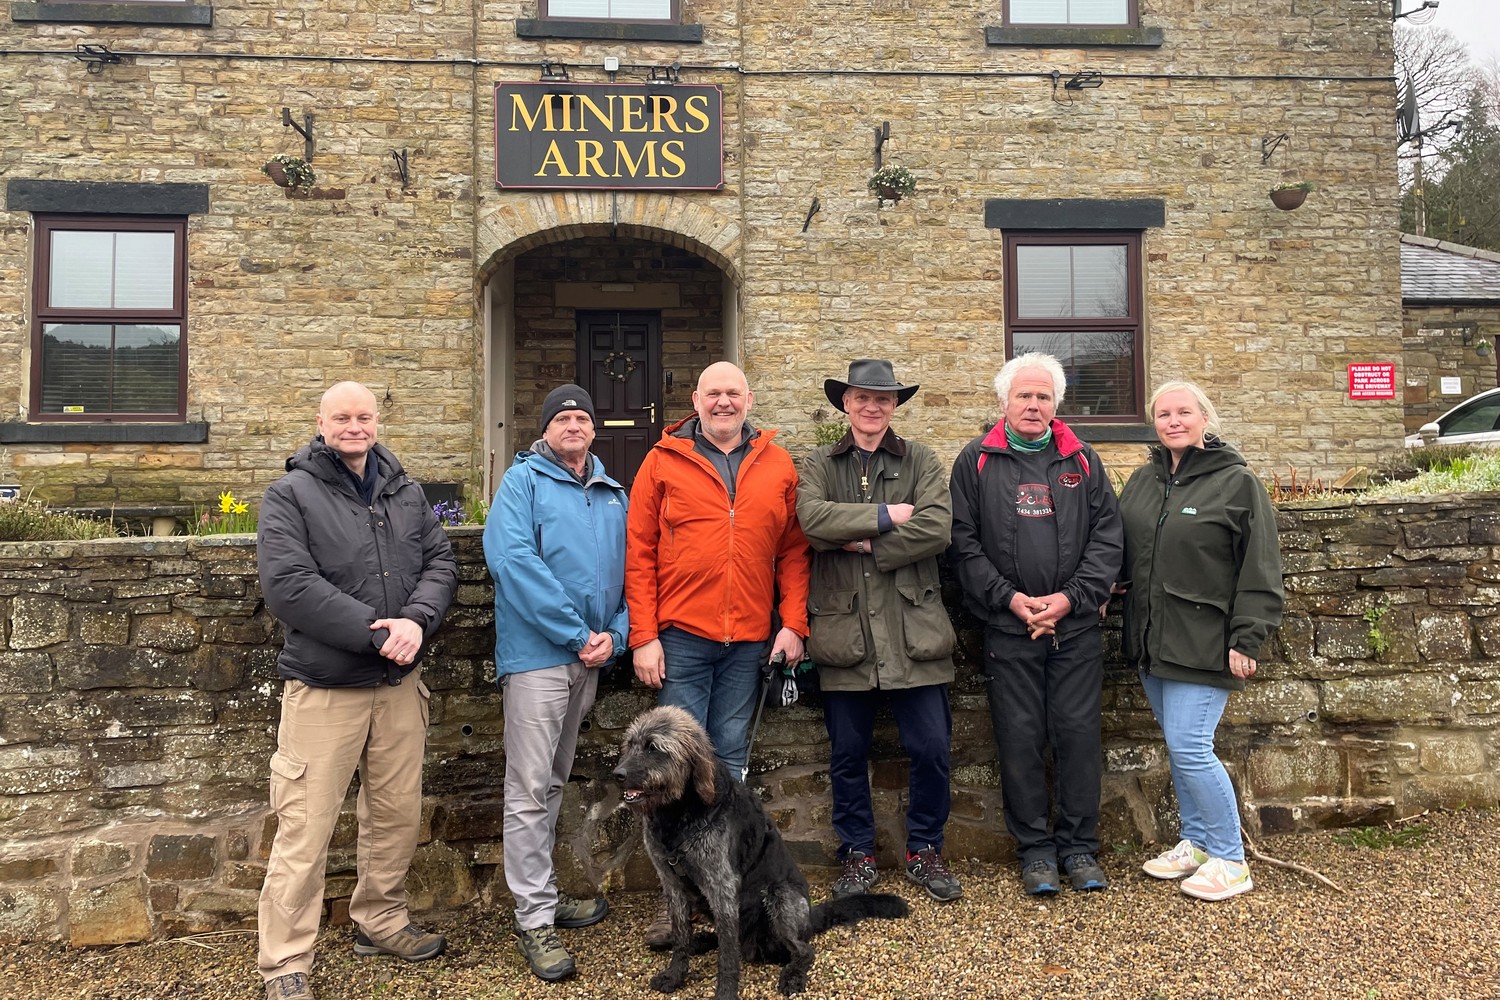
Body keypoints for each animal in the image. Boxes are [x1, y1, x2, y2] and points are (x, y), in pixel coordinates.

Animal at [609, 707, 900, 995]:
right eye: (630, 745)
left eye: (654, 748)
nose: (618, 775)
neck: (677, 814)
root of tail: (808, 920)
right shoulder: (673, 885)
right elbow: (682, 937)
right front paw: (674, 975)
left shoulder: (722, 887)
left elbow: (728, 955)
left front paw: (725, 992)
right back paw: (700, 941)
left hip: (779, 897)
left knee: (802, 950)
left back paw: (792, 975)